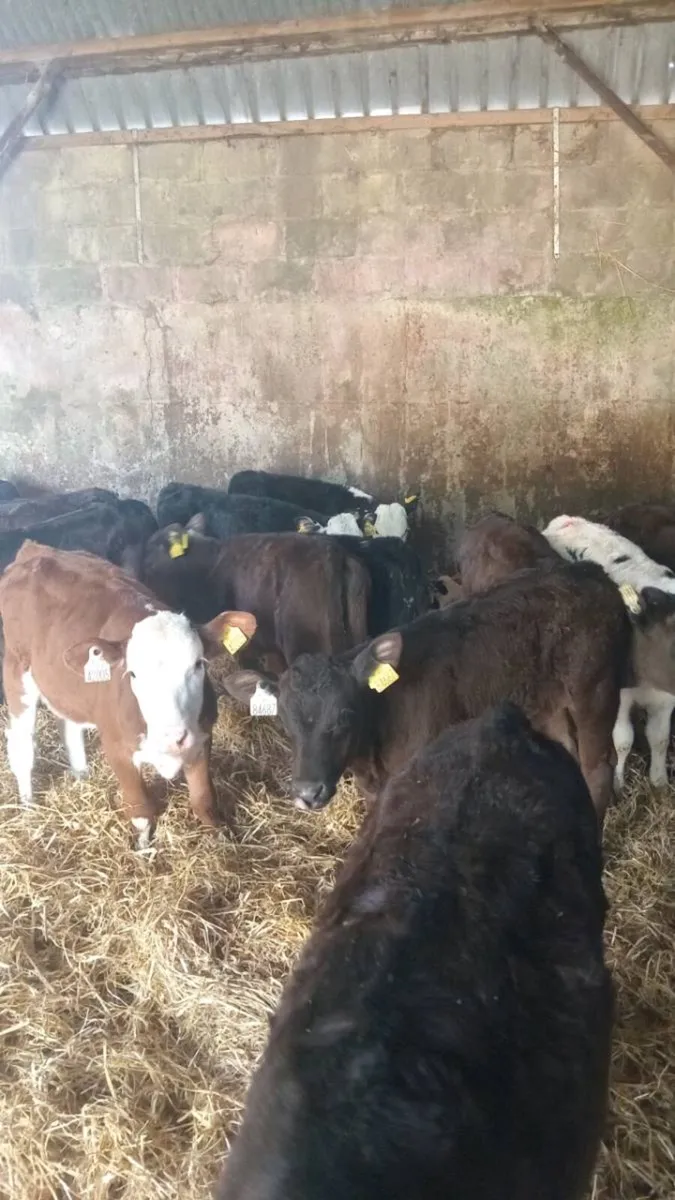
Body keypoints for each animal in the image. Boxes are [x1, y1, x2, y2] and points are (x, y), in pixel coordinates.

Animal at [0, 542, 256, 846]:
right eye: (133, 674)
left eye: (198, 664)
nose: (173, 737)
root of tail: (34, 548)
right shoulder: (116, 747)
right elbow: (141, 810)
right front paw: (144, 848)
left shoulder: (202, 737)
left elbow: (203, 800)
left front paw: (221, 838)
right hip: (16, 672)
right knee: (22, 745)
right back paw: (28, 804)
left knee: (69, 725)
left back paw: (81, 775)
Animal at [224, 559, 629, 821]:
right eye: (286, 723)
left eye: (344, 716)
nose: (308, 793)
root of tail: (591, 572)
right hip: (549, 705)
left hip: (594, 691)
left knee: (599, 767)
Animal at [544, 513, 675, 790]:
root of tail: (566, 519)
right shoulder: (617, 692)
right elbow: (622, 739)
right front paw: (618, 782)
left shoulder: (667, 699)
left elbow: (659, 737)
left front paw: (659, 780)